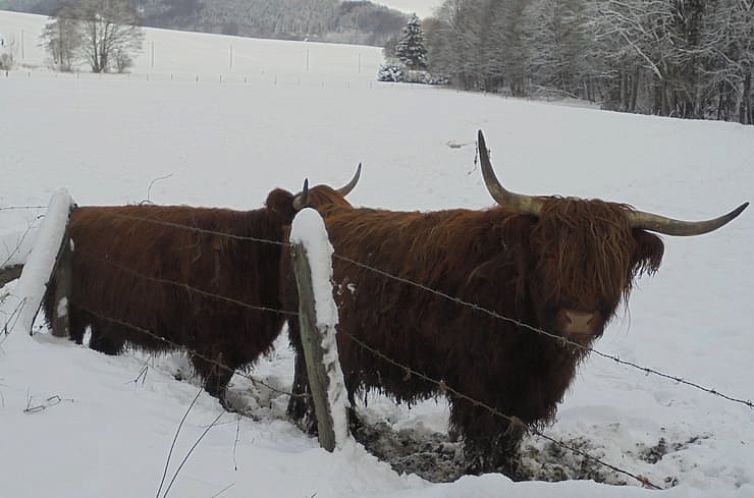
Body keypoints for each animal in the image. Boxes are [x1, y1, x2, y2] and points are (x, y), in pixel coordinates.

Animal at [42, 175, 360, 404]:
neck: (253, 253)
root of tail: (79, 213)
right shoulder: (214, 343)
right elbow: (215, 386)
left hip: (108, 323)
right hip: (73, 312)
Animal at [286, 131, 748, 474]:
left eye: (613, 262)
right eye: (549, 255)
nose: (578, 320)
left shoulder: (527, 394)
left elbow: (509, 439)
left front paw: (510, 470)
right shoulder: (480, 386)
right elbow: (483, 440)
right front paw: (483, 474)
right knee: (312, 379)